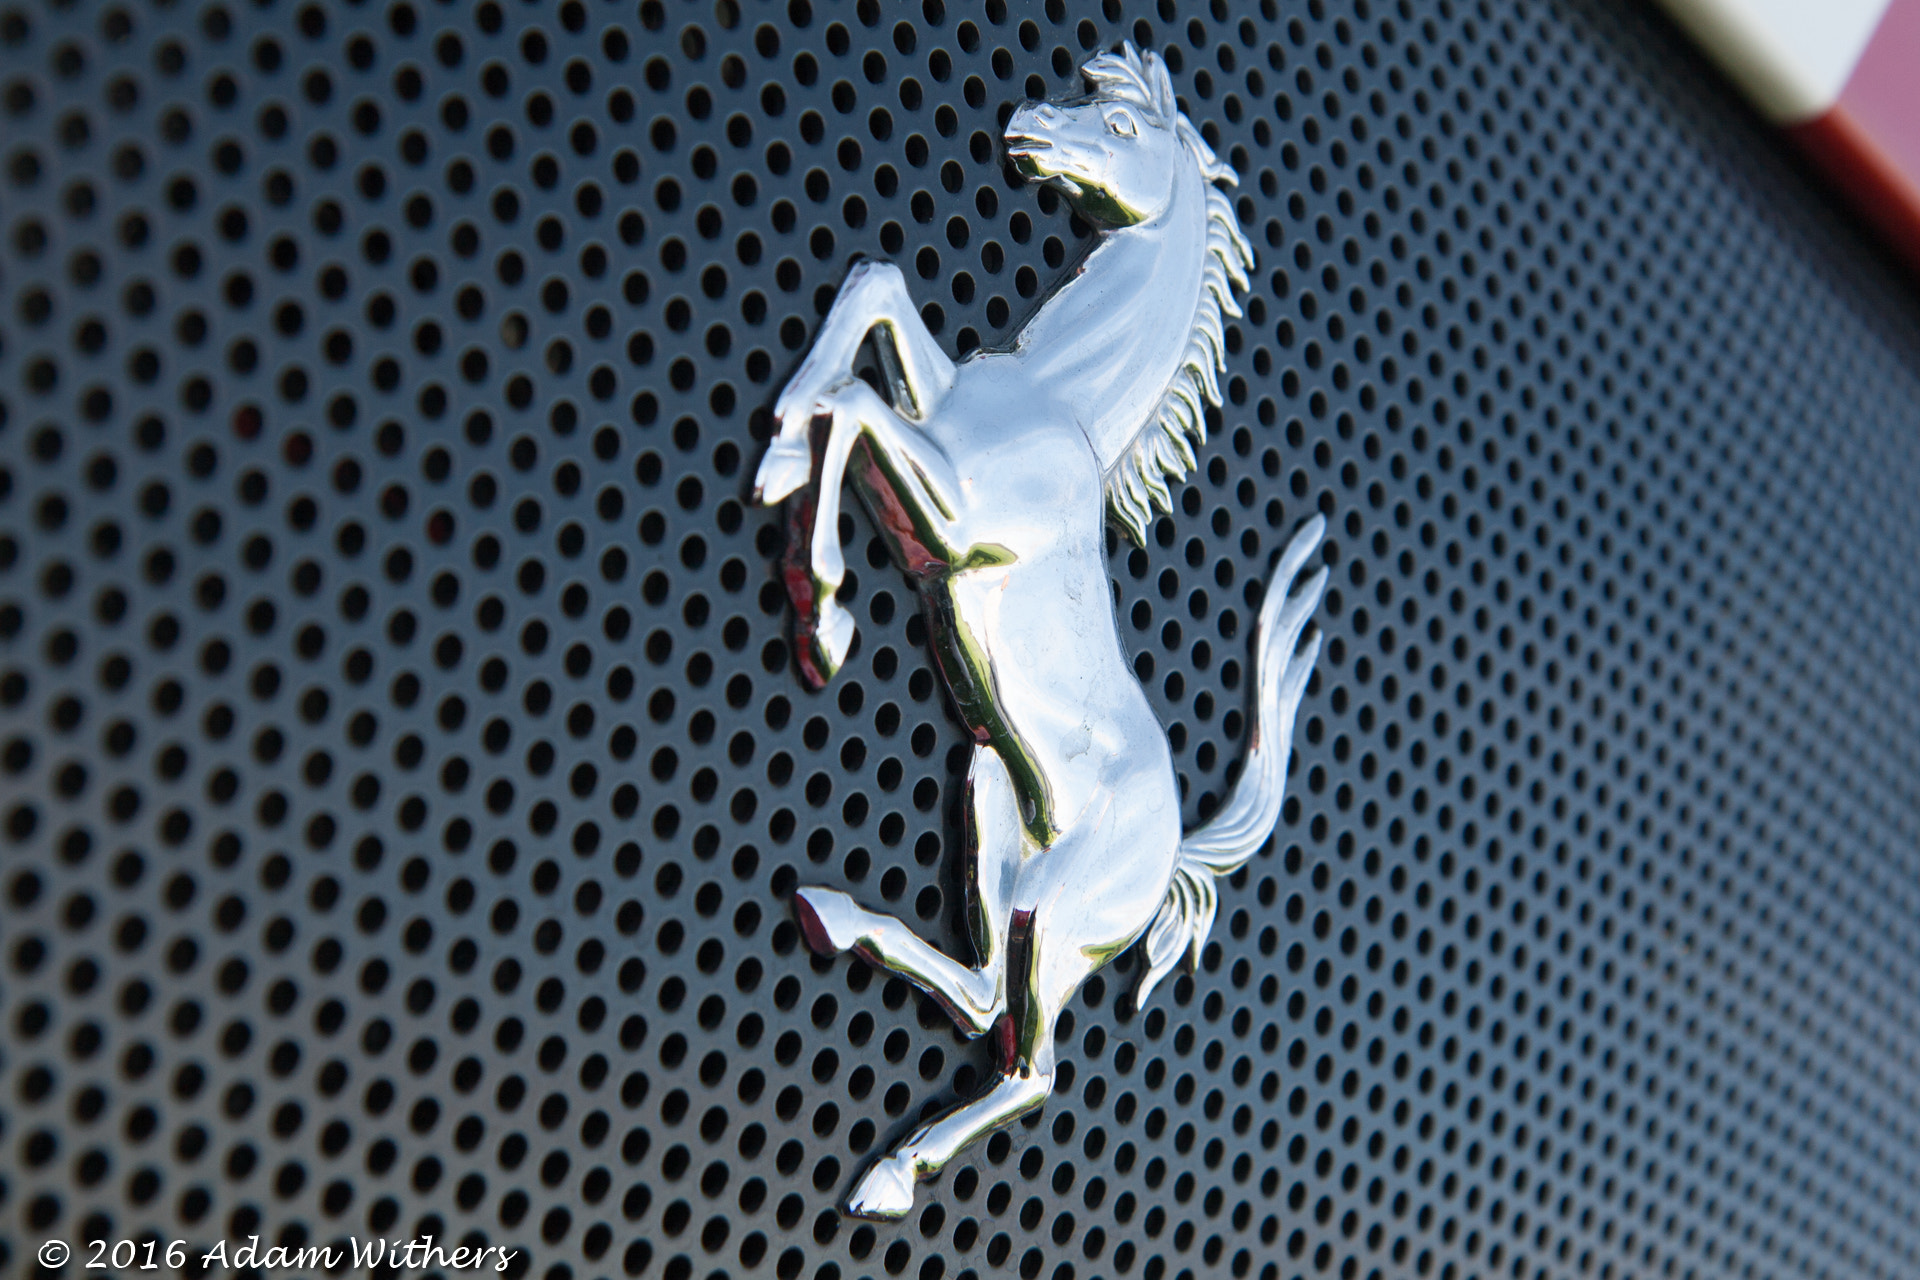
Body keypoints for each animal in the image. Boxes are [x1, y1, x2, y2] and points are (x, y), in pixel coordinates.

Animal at [751, 43, 1327, 1219]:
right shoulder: (934, 417)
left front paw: (822, 609)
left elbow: (855, 410)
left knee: (1034, 1067)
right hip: (989, 796)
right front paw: (784, 444)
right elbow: (876, 290)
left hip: (1063, 914)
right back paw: (838, 919)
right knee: (982, 999)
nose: (1023, 127)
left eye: (1121, 127)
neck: (1066, 403)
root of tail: (1175, 848)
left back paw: (893, 1172)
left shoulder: (958, 520)